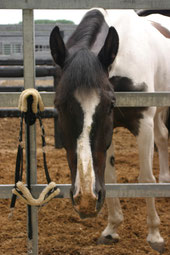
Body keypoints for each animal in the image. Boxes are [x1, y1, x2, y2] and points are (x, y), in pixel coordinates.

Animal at [48, 7, 170, 253]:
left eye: (110, 104)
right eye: (59, 105)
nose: (85, 199)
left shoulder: (143, 123)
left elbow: (145, 178)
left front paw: (154, 235)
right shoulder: (110, 132)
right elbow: (109, 176)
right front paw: (111, 229)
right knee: (162, 138)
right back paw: (165, 180)